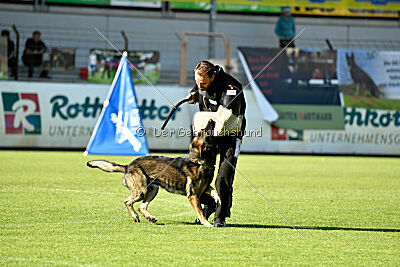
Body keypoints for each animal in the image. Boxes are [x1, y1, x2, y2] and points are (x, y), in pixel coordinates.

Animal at [86, 120, 220, 227]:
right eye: (204, 131)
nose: (211, 119)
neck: (200, 160)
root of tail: (128, 166)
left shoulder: (204, 188)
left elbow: (214, 190)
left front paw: (217, 199)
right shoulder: (193, 195)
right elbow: (201, 213)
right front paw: (207, 224)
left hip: (152, 190)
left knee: (141, 206)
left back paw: (149, 218)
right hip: (141, 191)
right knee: (128, 202)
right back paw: (135, 217)